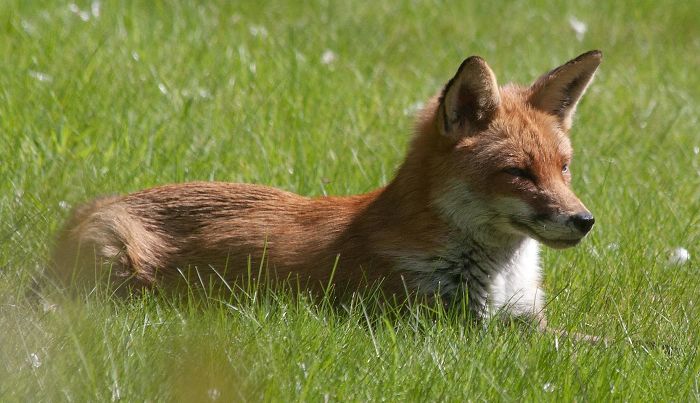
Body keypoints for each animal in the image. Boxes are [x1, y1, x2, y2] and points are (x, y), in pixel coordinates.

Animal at [51, 50, 602, 328]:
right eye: (519, 173)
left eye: (563, 168)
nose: (584, 221)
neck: (500, 279)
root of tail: (85, 209)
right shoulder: (441, 329)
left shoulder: (525, 323)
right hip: (121, 273)